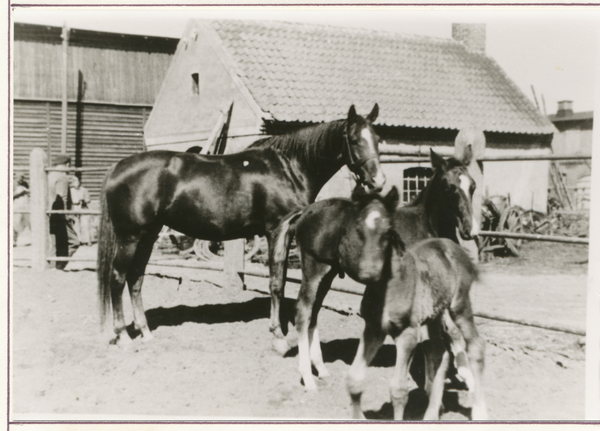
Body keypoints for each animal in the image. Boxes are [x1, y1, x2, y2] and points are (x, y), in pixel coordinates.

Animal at [276, 186, 398, 392]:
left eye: (389, 231)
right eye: (358, 230)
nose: (371, 273)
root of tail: (305, 212)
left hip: (328, 273)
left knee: (314, 311)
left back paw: (321, 369)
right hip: (314, 267)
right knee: (303, 309)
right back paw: (308, 378)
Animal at [346, 238, 488, 420]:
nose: (367, 270)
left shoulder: (408, 335)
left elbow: (399, 390)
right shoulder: (373, 329)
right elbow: (354, 378)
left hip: (459, 305)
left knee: (475, 344)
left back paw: (479, 411)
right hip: (435, 313)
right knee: (440, 352)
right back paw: (433, 413)